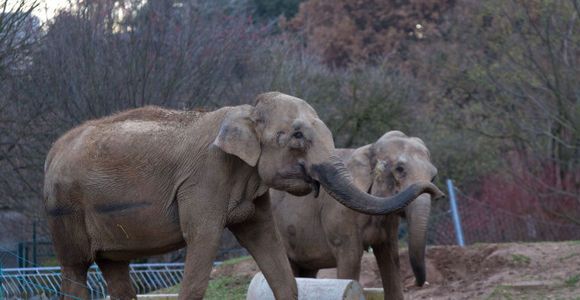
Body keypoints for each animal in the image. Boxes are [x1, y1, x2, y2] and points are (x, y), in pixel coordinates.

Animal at [272, 131, 440, 300]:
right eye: (400, 169)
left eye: (433, 177)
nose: (438, 193)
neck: (369, 149)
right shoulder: (342, 214)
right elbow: (351, 258)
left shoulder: (389, 223)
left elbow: (391, 258)